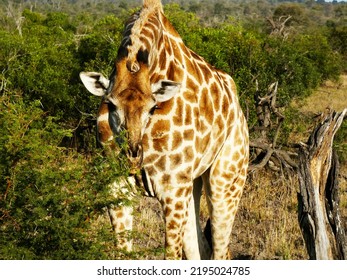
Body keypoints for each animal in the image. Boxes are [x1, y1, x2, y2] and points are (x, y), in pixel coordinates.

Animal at [80, 0, 249, 260]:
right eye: (110, 104)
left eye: (153, 107)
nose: (132, 156)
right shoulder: (116, 187)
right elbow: (123, 252)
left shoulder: (173, 190)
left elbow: (171, 255)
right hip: (193, 184)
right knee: (200, 246)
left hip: (227, 179)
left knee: (220, 248)